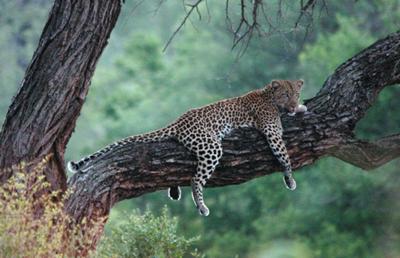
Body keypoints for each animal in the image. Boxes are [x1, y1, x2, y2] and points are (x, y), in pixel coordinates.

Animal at [68, 79, 306, 217]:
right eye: (285, 94)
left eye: (296, 94)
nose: (294, 104)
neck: (268, 95)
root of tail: (180, 120)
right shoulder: (273, 132)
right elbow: (285, 157)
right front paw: (291, 180)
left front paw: (301, 108)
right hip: (212, 146)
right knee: (195, 179)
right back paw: (201, 206)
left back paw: (174, 190)